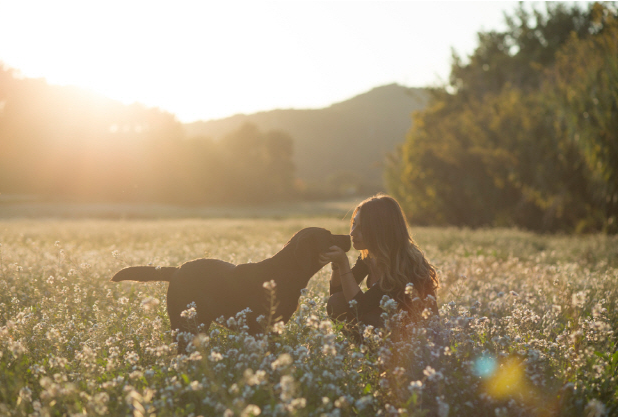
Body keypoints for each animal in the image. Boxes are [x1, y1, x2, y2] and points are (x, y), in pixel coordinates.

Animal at [109, 228, 346, 352]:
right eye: (328, 235)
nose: (348, 236)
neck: (288, 272)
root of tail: (176, 270)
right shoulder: (260, 328)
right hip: (184, 323)